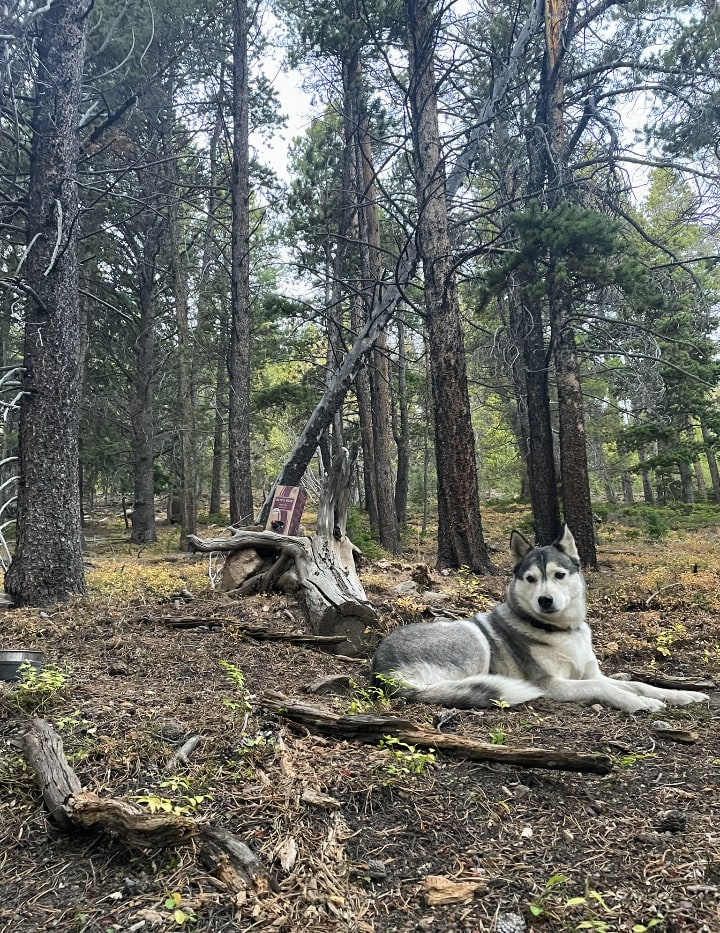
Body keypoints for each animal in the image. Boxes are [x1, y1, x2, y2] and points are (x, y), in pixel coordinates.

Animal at [374, 524, 712, 712]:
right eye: (531, 578)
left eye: (559, 575)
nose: (545, 600)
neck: (561, 632)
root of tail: (382, 670)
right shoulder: (555, 685)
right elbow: (609, 689)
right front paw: (638, 703)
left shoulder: (590, 674)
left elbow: (639, 684)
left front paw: (681, 695)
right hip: (472, 637)